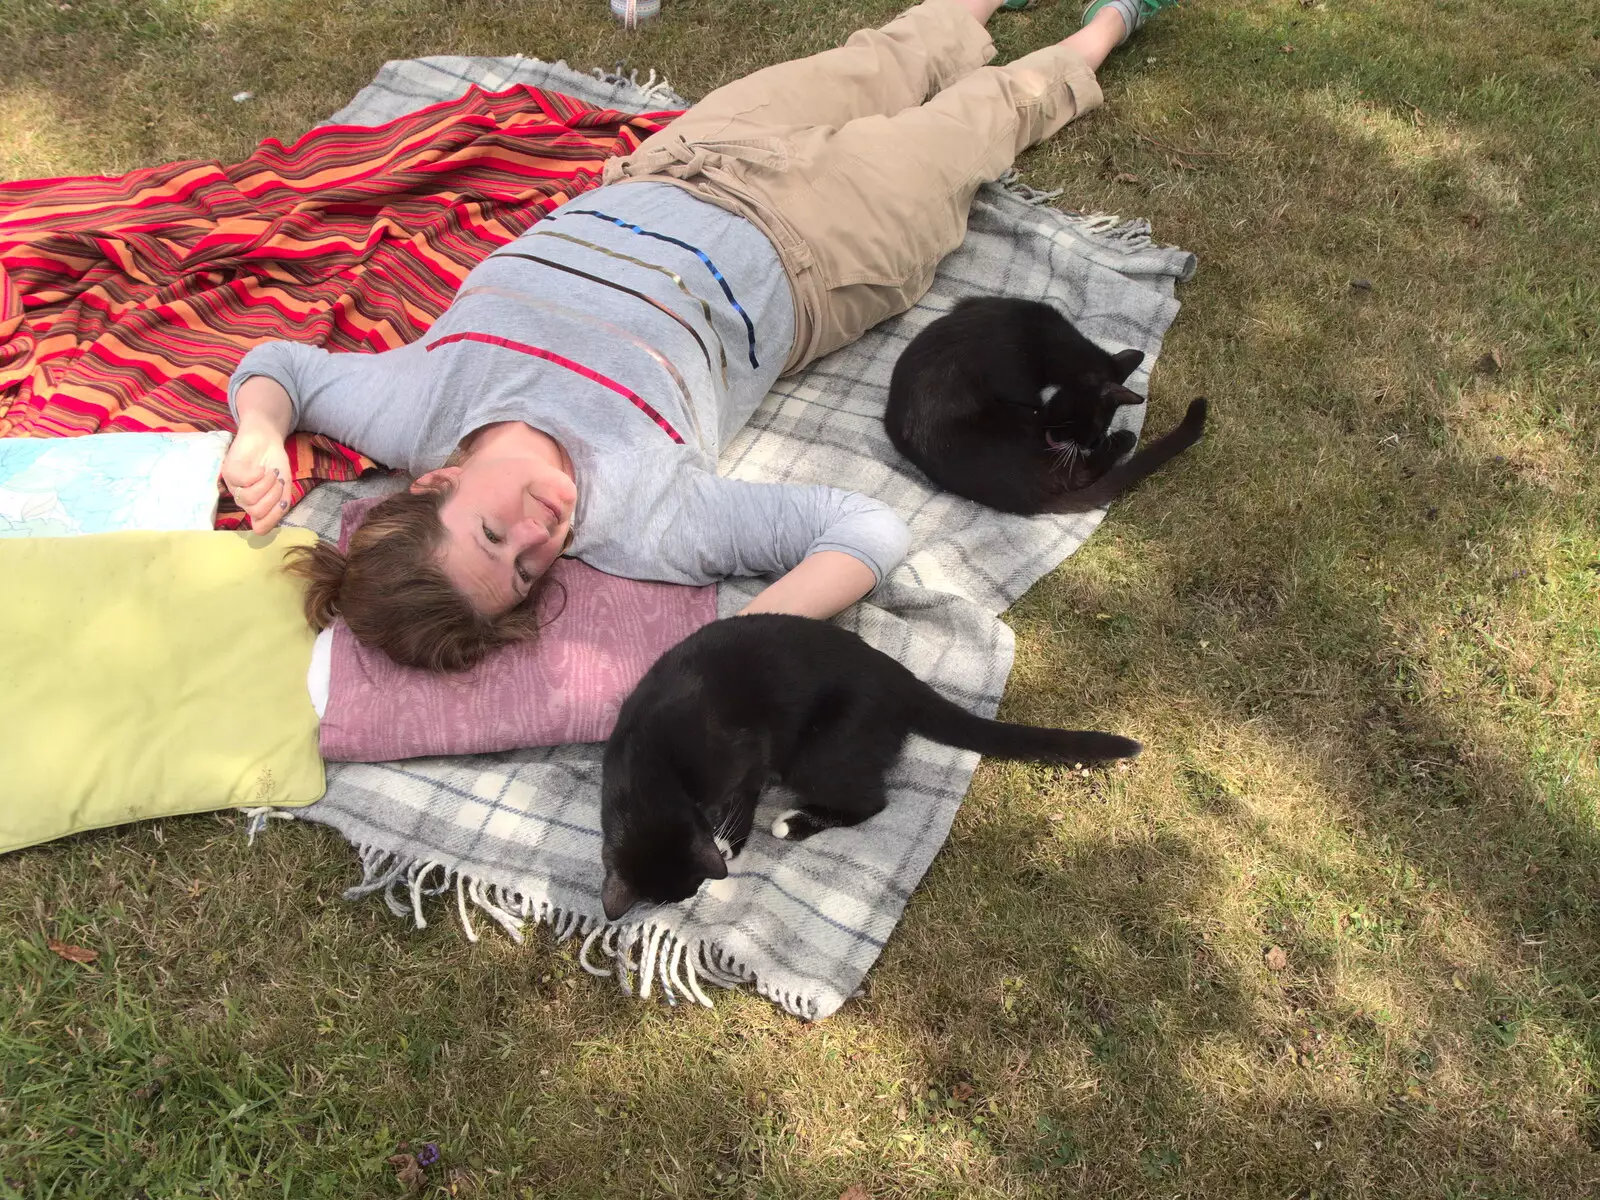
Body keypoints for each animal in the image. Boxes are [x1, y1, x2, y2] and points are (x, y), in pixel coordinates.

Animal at [598, 614, 1139, 928]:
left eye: (690, 890)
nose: (692, 895)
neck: (647, 766)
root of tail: (900, 678)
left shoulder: (747, 751)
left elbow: (745, 794)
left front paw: (731, 841)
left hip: (817, 754)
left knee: (871, 801)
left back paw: (792, 822)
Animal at [883, 299, 1203, 515]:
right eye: (1094, 424)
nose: (1092, 442)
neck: (1052, 343)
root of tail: (1030, 498)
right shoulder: (1018, 381)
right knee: (1083, 472)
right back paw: (1124, 439)